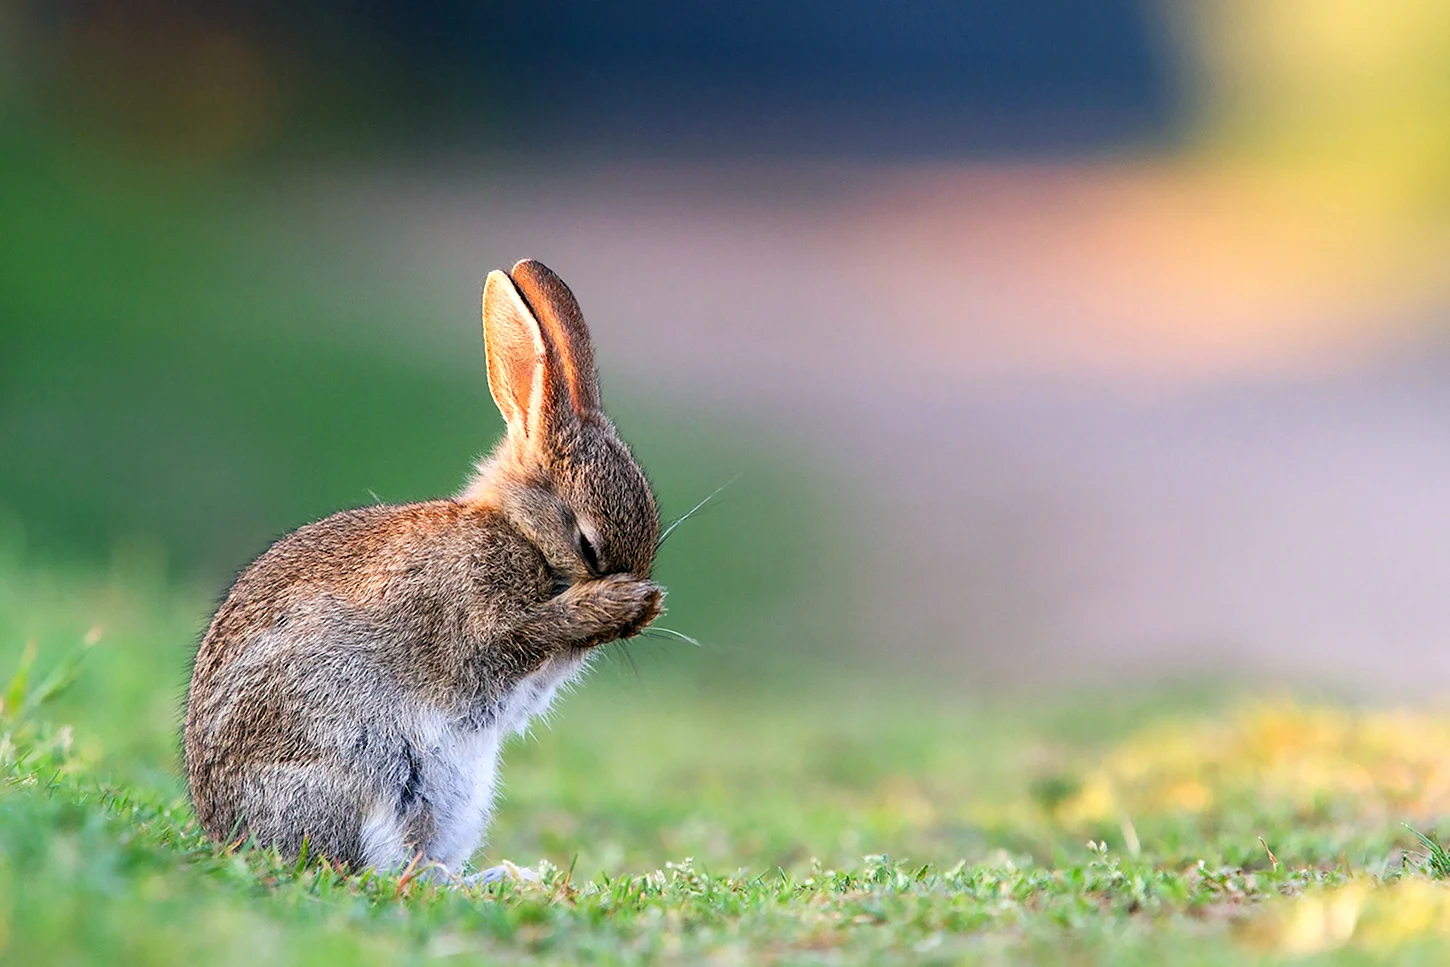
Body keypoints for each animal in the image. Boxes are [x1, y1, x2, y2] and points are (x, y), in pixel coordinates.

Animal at [183, 259, 664, 882]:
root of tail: (230, 835)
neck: (519, 532)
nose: (641, 611)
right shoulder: (476, 622)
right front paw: (618, 603)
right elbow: (520, 638)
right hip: (367, 770)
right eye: (587, 544)